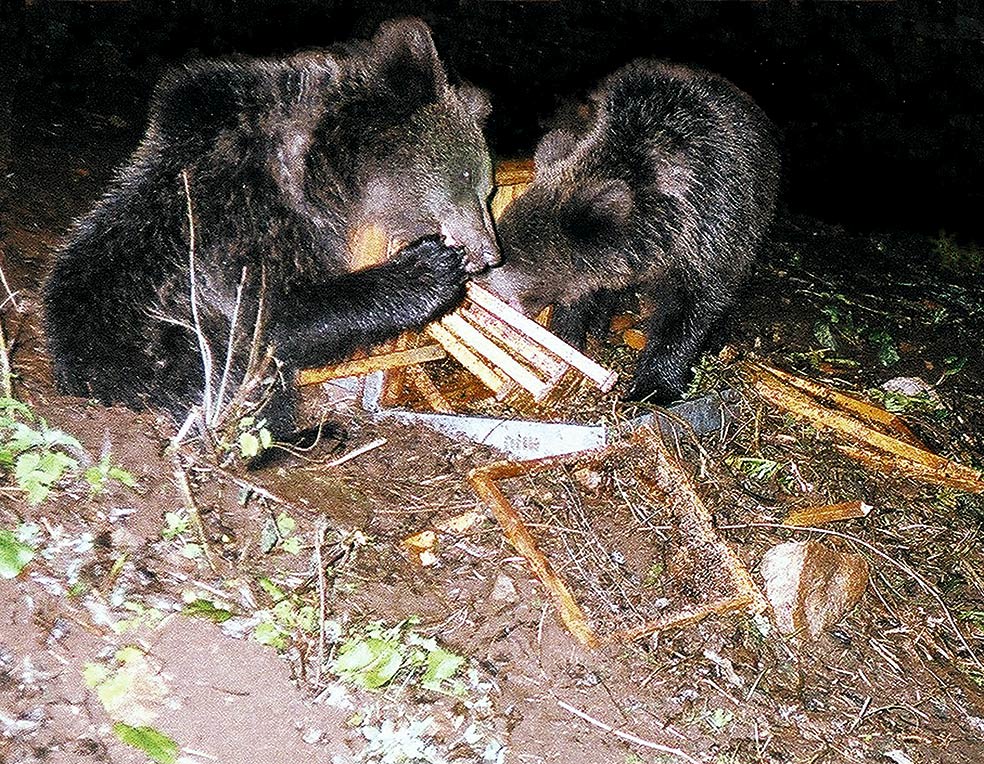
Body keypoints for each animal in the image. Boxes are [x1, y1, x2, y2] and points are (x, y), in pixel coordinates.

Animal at [42, 18, 499, 449]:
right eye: (468, 178)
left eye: (487, 187)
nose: (490, 252)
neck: (323, 173)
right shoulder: (244, 222)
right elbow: (268, 315)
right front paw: (427, 270)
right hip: (159, 347)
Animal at [483, 59, 780, 402]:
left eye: (514, 261)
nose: (484, 288)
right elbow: (582, 298)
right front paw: (571, 339)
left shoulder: (710, 234)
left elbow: (688, 310)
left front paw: (653, 386)